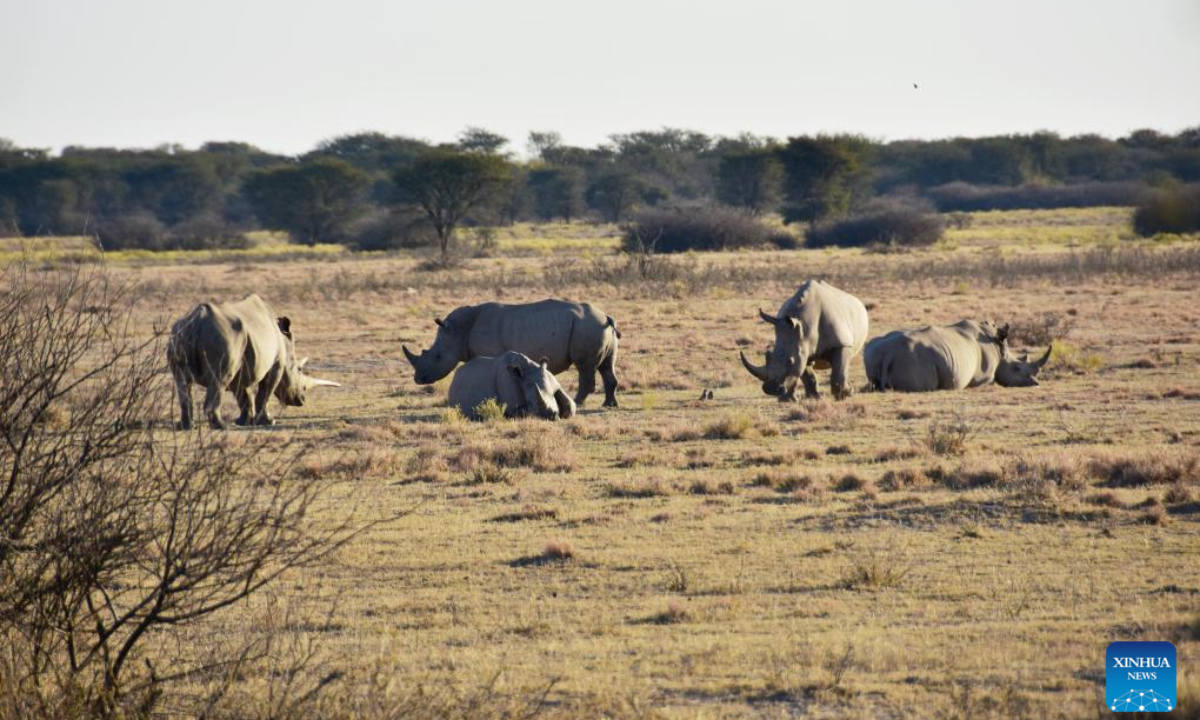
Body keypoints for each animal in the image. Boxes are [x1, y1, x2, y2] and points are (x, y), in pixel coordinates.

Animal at [166, 291, 340, 427]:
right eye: (299, 369)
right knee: (219, 381)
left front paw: (243, 421)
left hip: (179, 335)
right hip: (222, 339)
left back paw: (186, 426)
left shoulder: (241, 362)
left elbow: (242, 394)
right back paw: (220, 426)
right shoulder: (276, 365)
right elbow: (264, 393)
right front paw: (269, 421)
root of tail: (196, 323)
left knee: (183, 381)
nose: (301, 400)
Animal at [408, 297, 624, 408]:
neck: (459, 331)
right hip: (596, 327)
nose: (418, 379)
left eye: (437, 357)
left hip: (588, 326)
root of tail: (606, 316)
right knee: (606, 366)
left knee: (585, 367)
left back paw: (577, 403)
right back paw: (609, 405)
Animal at [734, 279, 868, 403]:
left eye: (790, 361)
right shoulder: (802, 346)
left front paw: (843, 396)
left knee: (844, 365)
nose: (771, 389)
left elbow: (839, 370)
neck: (804, 325)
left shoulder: (841, 344)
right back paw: (791, 399)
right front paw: (813, 398)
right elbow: (805, 373)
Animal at [864, 319, 1051, 391]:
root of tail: (889, 352)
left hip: (873, 351)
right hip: (911, 358)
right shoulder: (984, 377)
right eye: (1017, 368)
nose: (1036, 384)